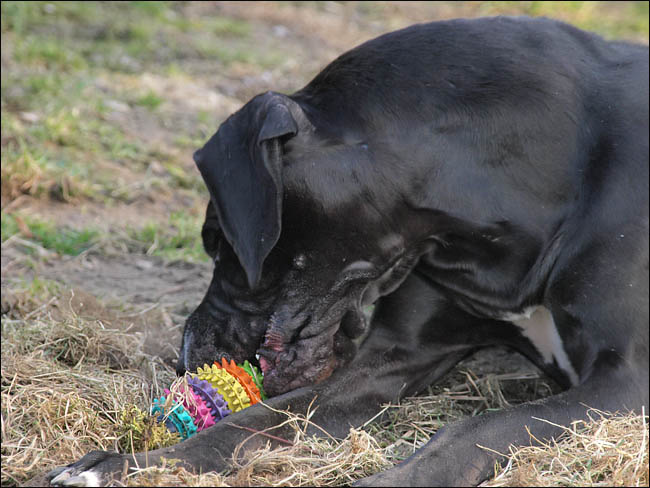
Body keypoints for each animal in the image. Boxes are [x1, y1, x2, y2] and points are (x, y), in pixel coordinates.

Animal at [48, 16, 648, 486]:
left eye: (219, 243)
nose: (187, 356)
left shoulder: (624, 380)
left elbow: (479, 427)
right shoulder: (393, 354)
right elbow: (256, 421)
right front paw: (123, 466)